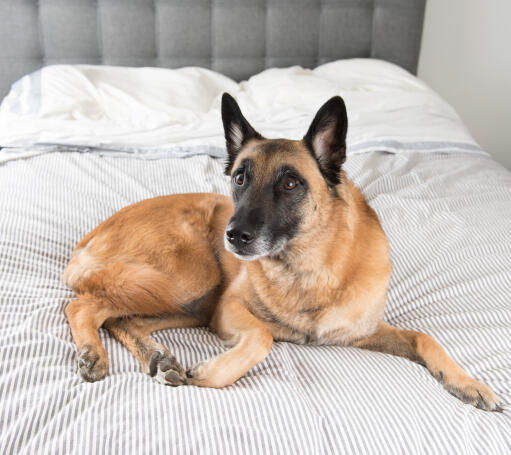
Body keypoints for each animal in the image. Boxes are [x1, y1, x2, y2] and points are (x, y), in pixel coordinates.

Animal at [63, 93, 500, 414]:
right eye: (240, 178)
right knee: (82, 305)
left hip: (190, 302)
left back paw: (155, 357)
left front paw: (468, 383)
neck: (310, 267)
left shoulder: (361, 331)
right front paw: (213, 372)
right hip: (190, 279)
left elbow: (425, 338)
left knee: (121, 318)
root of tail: (86, 240)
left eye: (290, 183)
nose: (233, 236)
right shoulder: (229, 309)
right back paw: (93, 352)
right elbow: (263, 336)